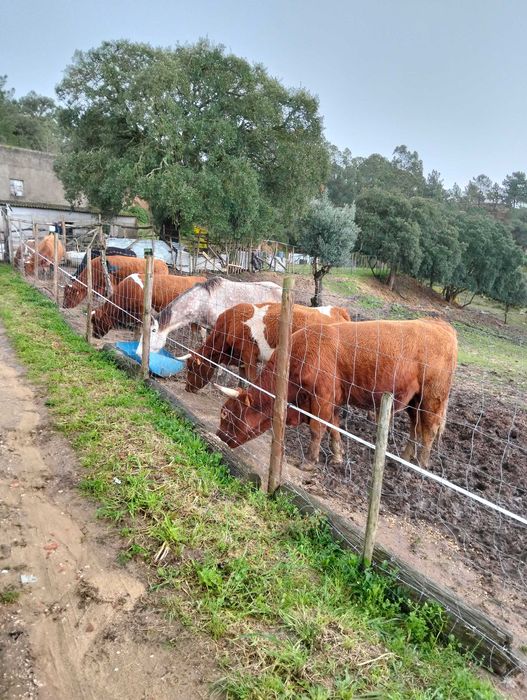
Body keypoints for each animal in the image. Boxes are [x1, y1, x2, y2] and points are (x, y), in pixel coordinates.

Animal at [184, 302, 350, 391]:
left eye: (192, 368)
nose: (187, 388)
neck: (230, 324)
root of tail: (338, 310)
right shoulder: (242, 358)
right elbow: (242, 378)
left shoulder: (249, 354)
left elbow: (251, 379)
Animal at [216, 319, 458, 468]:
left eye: (226, 413)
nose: (219, 436)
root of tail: (438, 323)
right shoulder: (332, 401)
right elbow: (334, 428)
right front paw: (338, 456)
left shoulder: (322, 398)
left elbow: (317, 429)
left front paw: (309, 461)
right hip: (414, 401)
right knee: (415, 427)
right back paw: (404, 458)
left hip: (432, 398)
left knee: (429, 429)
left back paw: (420, 463)